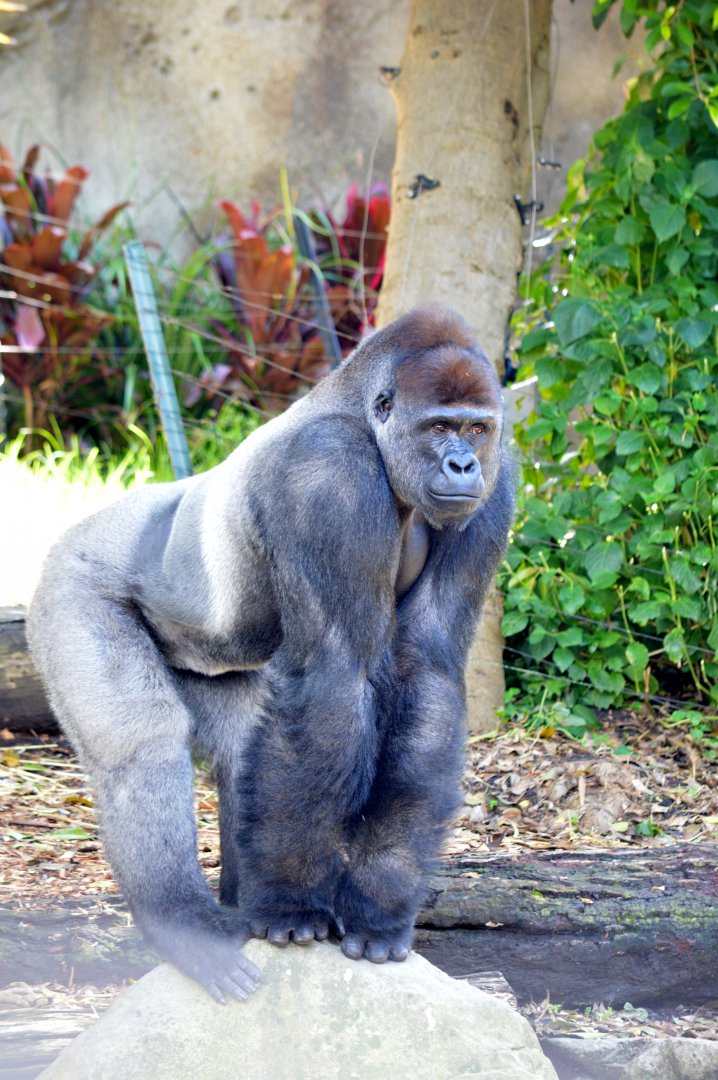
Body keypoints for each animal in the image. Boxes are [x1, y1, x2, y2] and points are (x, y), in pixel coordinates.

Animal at [27, 306, 514, 1004]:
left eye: (477, 428)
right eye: (439, 427)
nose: (463, 465)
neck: (366, 421)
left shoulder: (497, 490)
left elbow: (429, 674)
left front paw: (378, 905)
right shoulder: (327, 474)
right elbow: (335, 676)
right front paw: (290, 907)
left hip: (207, 658)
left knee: (241, 750)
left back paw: (240, 899)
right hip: (70, 583)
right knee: (140, 742)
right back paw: (183, 923)